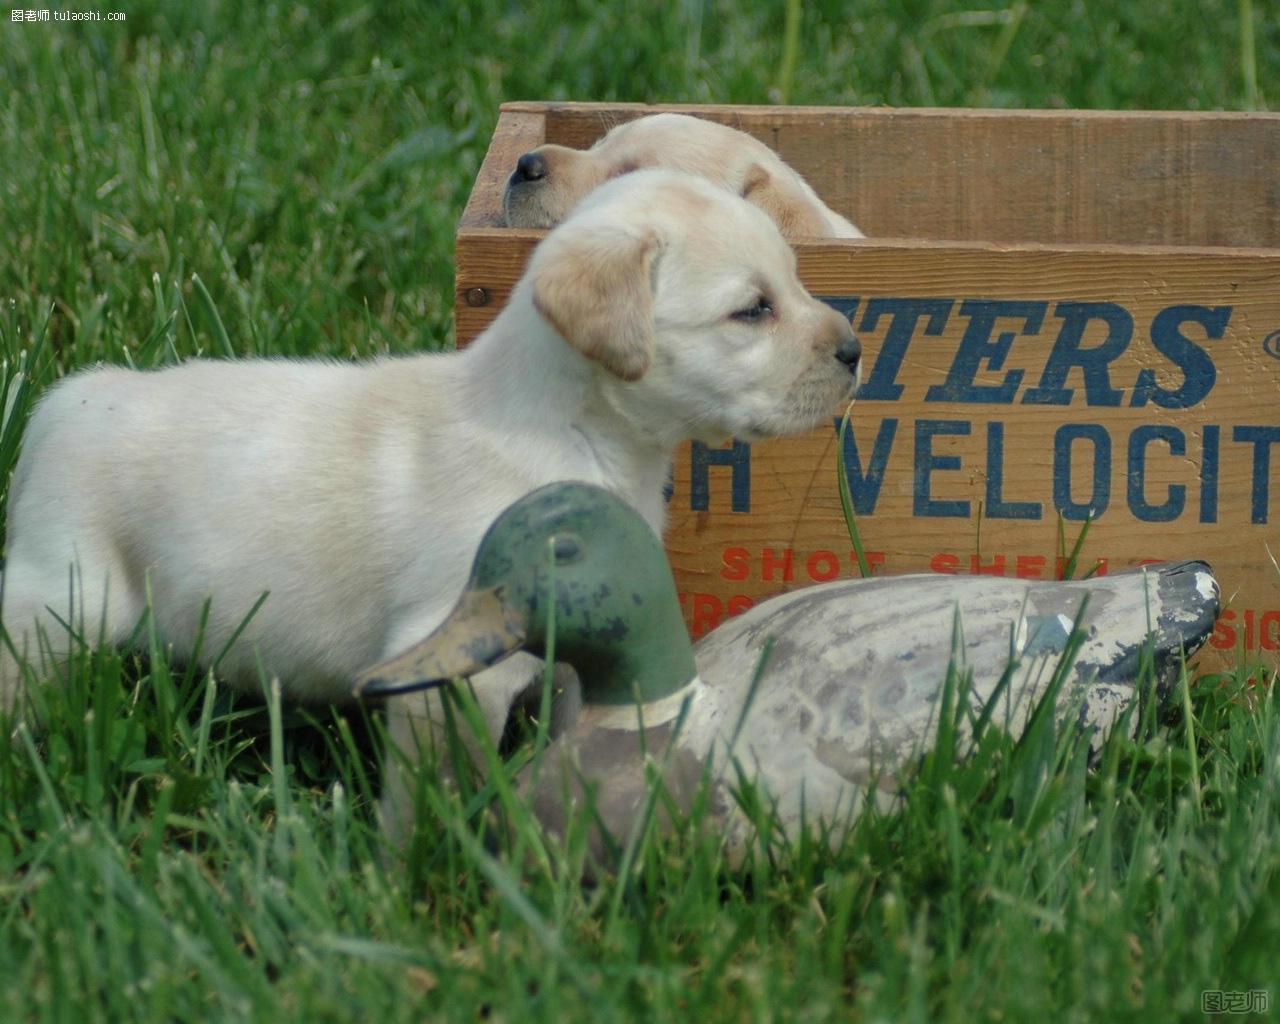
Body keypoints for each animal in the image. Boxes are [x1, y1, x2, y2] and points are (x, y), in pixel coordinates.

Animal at [2, 167, 860, 824]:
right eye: (752, 309)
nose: (855, 349)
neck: (572, 432)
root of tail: (65, 401)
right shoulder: (453, 669)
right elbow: (439, 786)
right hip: (63, 603)